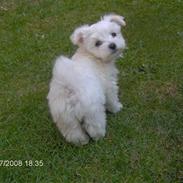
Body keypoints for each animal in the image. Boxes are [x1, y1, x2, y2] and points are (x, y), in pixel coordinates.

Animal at [47, 13, 126, 146]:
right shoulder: (109, 86)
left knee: (73, 133)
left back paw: (82, 141)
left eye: (114, 34)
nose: (112, 45)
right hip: (92, 111)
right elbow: (112, 99)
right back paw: (99, 137)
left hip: (65, 118)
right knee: (94, 127)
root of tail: (70, 90)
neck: (92, 55)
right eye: (98, 43)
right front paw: (117, 108)